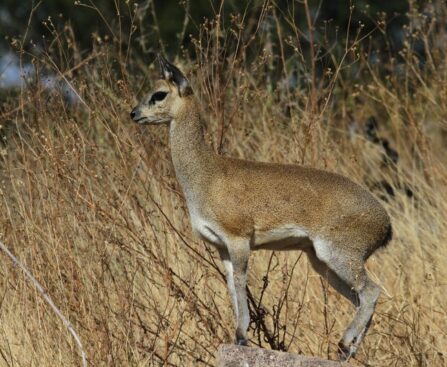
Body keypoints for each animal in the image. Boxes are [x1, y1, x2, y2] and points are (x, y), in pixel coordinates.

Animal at [130, 56, 392, 360]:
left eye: (159, 93)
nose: (133, 113)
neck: (206, 173)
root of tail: (386, 224)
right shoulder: (221, 246)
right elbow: (231, 285)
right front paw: (237, 335)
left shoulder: (239, 238)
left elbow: (242, 281)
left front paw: (242, 336)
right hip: (321, 261)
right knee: (361, 298)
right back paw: (347, 351)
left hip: (339, 254)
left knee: (371, 291)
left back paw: (343, 343)